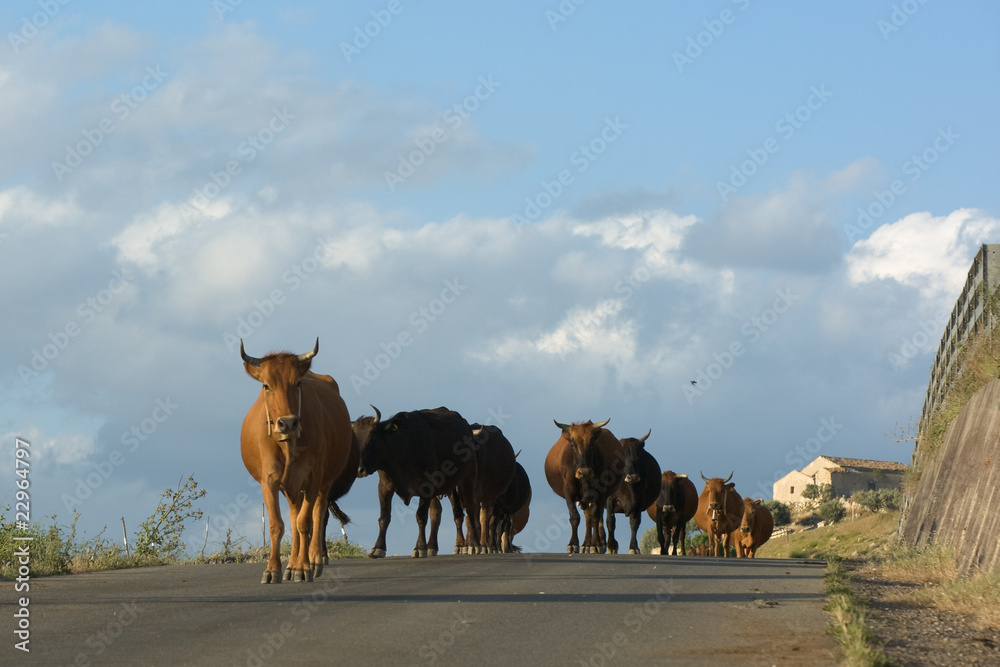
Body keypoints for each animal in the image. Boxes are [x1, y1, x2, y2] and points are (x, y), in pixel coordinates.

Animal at [239, 338, 353, 584]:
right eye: (266, 385)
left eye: (298, 383)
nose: (288, 423)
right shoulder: (269, 480)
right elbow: (277, 525)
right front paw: (273, 569)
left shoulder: (313, 477)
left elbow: (305, 522)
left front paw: (304, 567)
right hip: (290, 487)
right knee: (293, 515)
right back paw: (291, 564)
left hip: (324, 481)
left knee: (317, 514)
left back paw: (313, 560)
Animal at [353, 406, 481, 559]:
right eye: (354, 440)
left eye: (372, 438)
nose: (359, 470)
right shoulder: (384, 486)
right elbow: (384, 517)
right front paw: (378, 548)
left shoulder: (427, 486)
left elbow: (421, 517)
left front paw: (420, 548)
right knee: (441, 513)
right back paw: (434, 546)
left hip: (468, 476)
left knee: (470, 508)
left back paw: (472, 544)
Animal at [544, 419, 624, 554]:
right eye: (572, 444)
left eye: (591, 443)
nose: (584, 472)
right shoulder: (569, 492)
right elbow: (574, 517)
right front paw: (573, 544)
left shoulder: (600, 493)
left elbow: (595, 516)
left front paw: (595, 545)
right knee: (587, 517)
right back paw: (586, 544)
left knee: (593, 516)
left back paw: (593, 544)